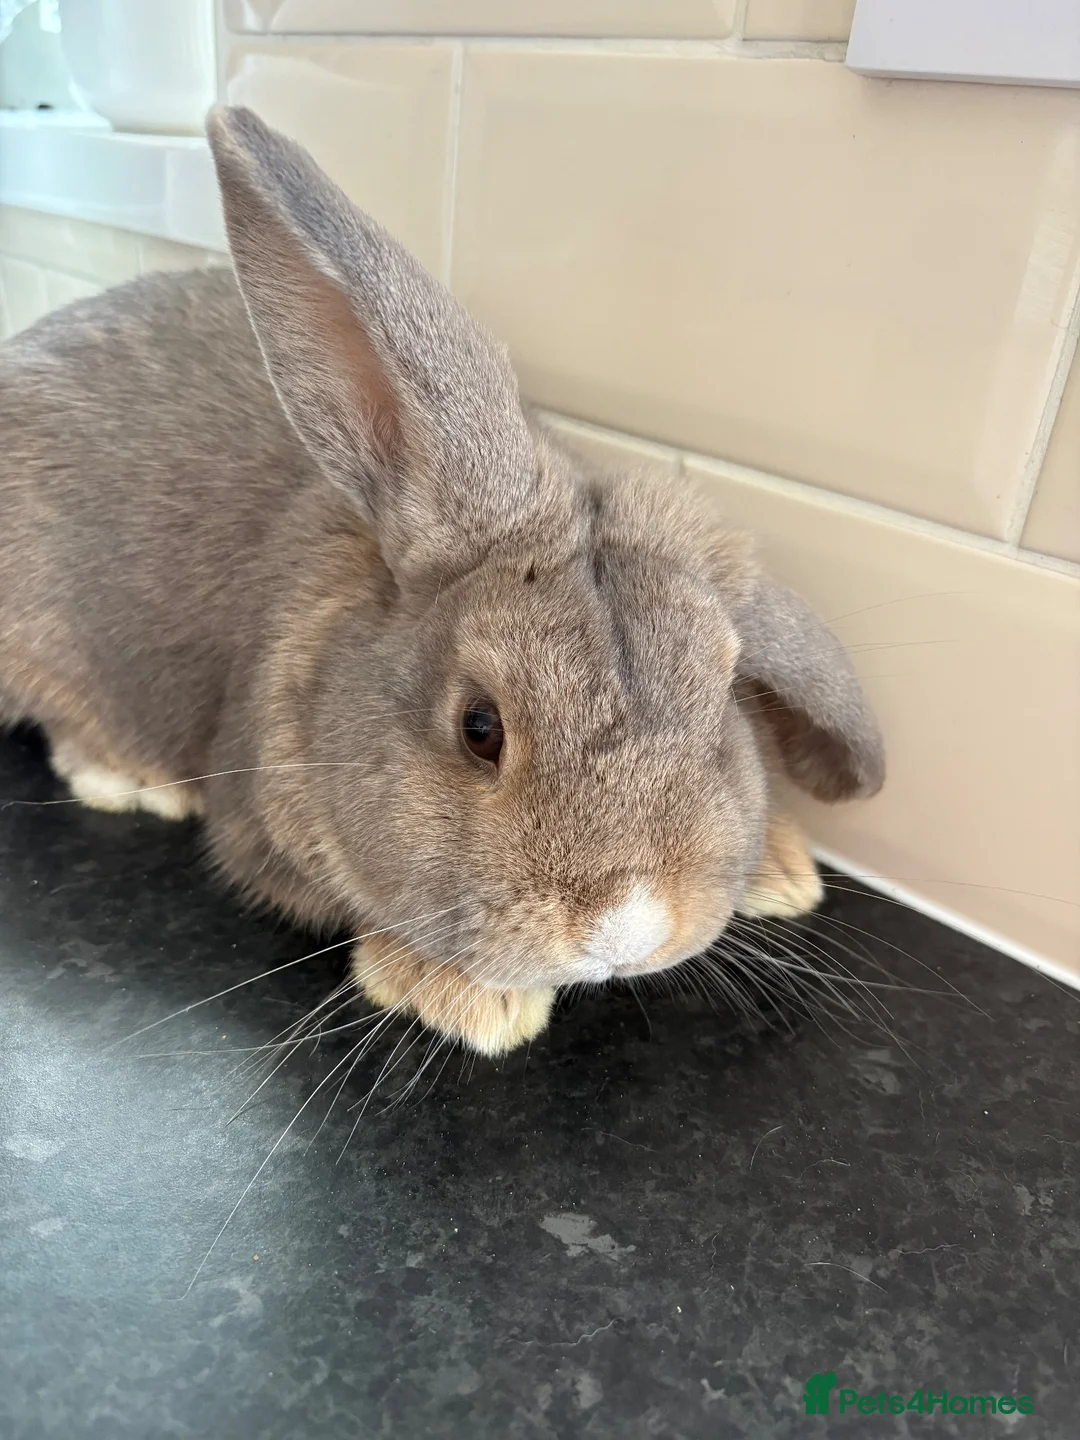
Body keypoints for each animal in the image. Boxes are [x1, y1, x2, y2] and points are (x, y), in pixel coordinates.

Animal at [0, 105, 884, 1057]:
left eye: (721, 703)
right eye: (478, 728)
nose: (627, 929)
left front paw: (785, 870)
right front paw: (473, 1002)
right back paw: (135, 780)